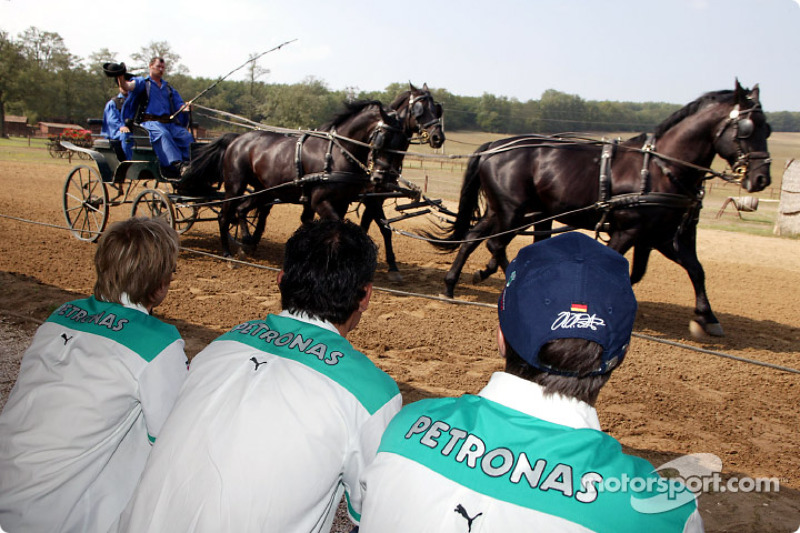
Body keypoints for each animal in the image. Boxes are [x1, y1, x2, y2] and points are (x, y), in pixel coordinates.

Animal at [182, 102, 406, 258]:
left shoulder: (341, 202)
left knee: (241, 210)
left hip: (264, 191)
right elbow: (336, 228)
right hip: (235, 186)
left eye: (402, 143)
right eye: (383, 138)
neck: (337, 153)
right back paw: (227, 253)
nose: (382, 177)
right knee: (224, 216)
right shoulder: (319, 201)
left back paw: (246, 243)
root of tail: (237, 139)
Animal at [434, 80, 772, 334]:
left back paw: (453, 284)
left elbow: (693, 269)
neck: (661, 168)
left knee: (475, 237)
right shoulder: (629, 231)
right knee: (494, 243)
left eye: (767, 128)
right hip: (512, 211)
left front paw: (707, 318)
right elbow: (624, 269)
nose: (761, 178)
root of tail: (495, 145)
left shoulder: (661, 236)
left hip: (505, 211)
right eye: (746, 128)